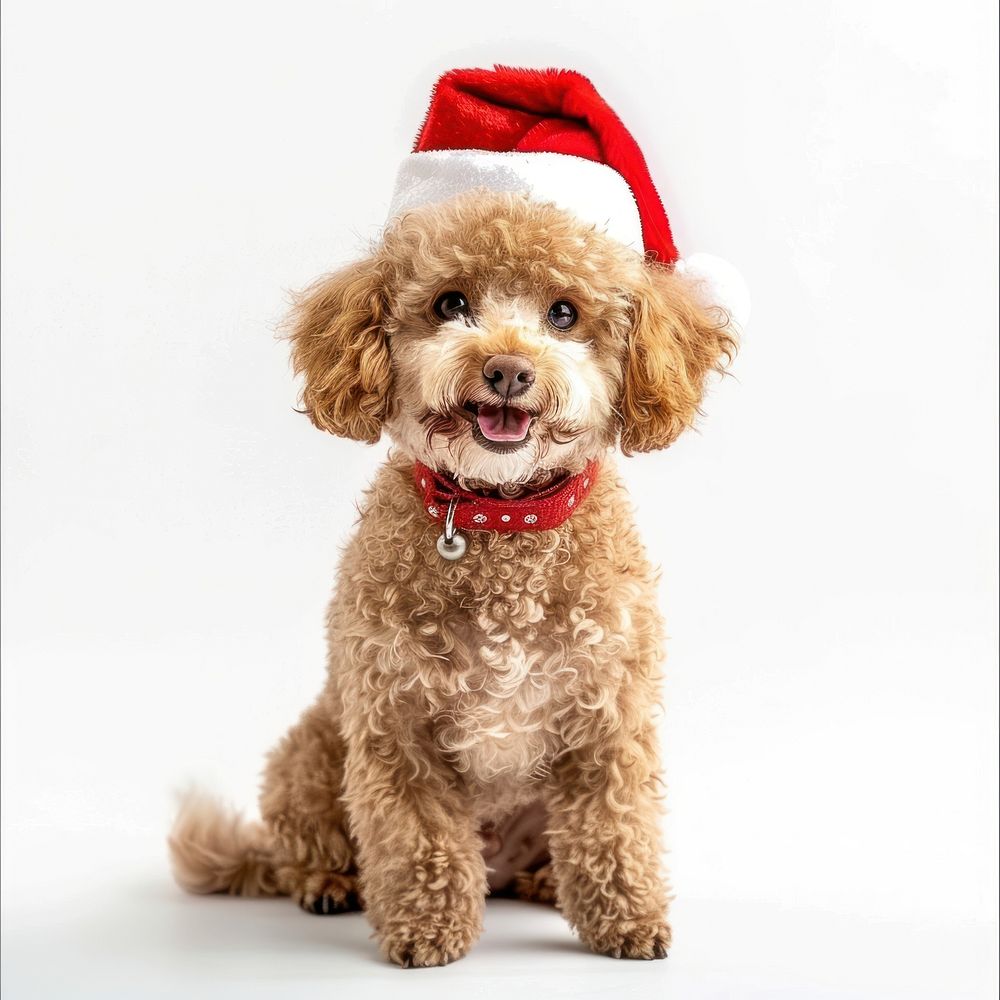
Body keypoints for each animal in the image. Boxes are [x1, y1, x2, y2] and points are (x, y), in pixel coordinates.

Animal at [170, 186, 736, 960]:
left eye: (564, 312)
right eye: (451, 303)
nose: (507, 370)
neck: (502, 520)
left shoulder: (606, 719)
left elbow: (613, 829)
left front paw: (628, 921)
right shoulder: (396, 722)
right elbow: (419, 839)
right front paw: (425, 929)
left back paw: (542, 883)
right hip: (310, 751)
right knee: (301, 846)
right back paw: (329, 884)